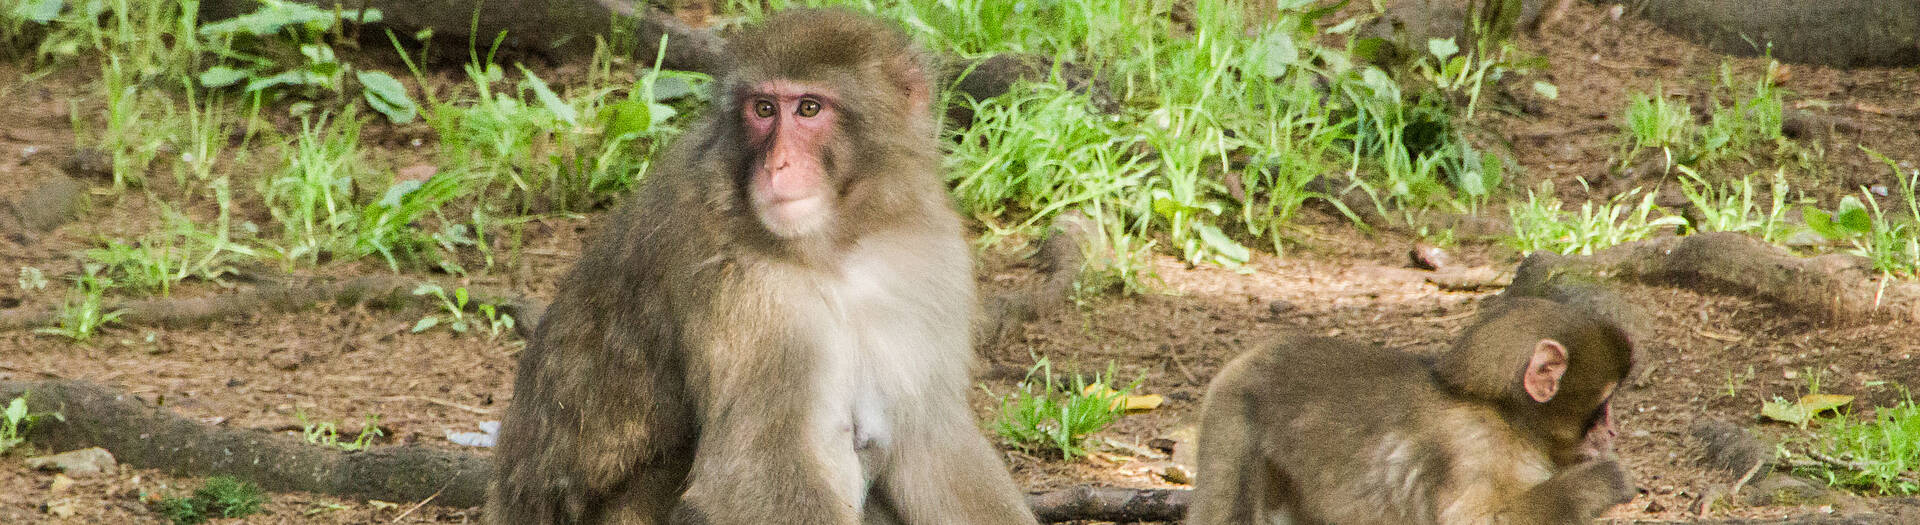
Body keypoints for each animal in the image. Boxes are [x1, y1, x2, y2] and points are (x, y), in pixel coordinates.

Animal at [487, 9, 1044, 523]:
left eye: (809, 108)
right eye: (763, 109)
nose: (777, 165)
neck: (838, 246)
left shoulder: (926, 254)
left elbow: (930, 444)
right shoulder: (741, 288)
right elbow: (756, 471)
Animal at [1182, 296, 1635, 519]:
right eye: (1604, 407)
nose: (1612, 433)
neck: (1507, 417)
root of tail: (1250, 355)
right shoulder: (1477, 448)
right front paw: (1601, 482)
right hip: (1234, 418)